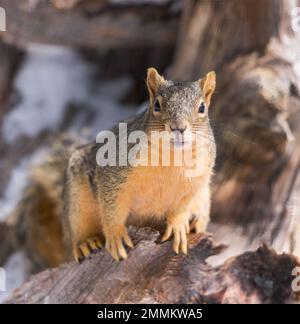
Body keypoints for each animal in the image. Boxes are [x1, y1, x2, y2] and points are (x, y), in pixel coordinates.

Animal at [63, 67, 216, 260]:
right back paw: (87, 242)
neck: (172, 156)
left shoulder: (195, 182)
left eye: (202, 107)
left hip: (205, 196)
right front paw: (116, 235)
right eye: (156, 105)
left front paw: (178, 225)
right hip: (78, 202)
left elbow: (180, 207)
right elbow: (112, 207)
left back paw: (196, 222)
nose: (178, 127)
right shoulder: (114, 172)